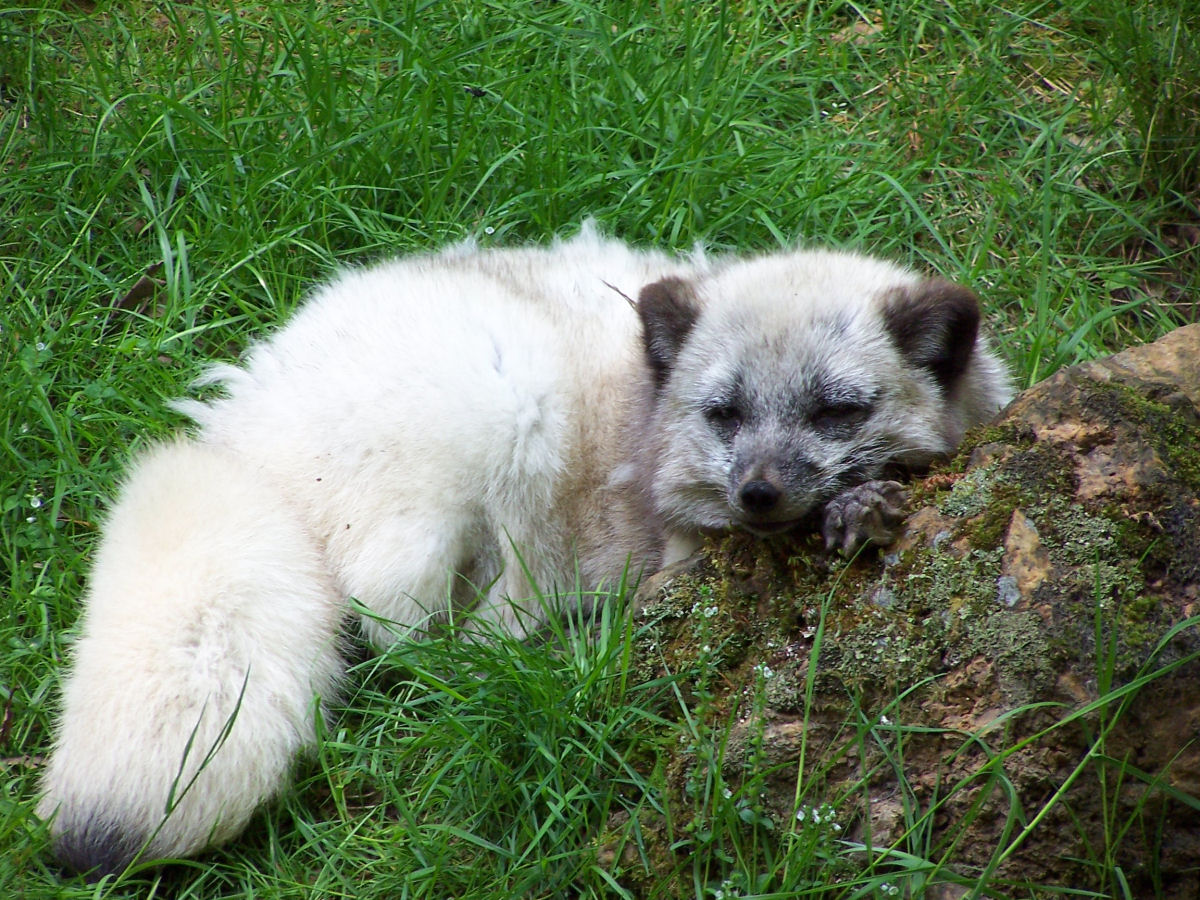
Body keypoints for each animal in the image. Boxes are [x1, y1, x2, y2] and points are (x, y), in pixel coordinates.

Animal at [37, 224, 1012, 873]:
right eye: (725, 414)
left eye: (838, 410)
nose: (760, 493)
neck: (641, 411)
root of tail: (239, 439)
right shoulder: (681, 550)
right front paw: (859, 510)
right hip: (504, 407)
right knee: (413, 635)